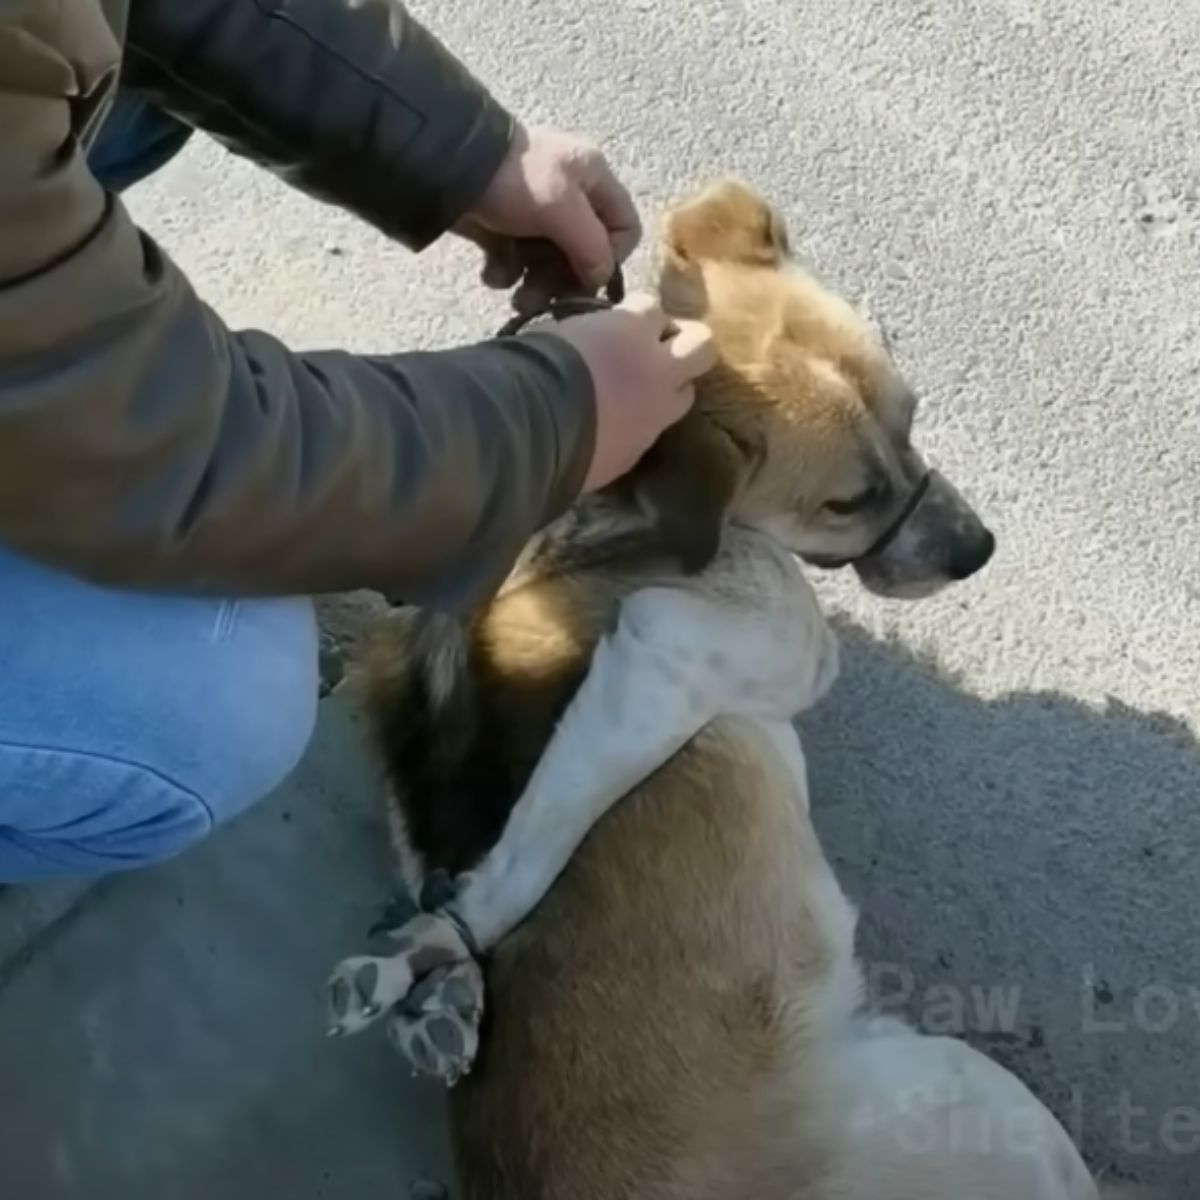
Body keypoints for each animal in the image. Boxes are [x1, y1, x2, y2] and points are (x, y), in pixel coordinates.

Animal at [333, 180, 1108, 1200]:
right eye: (845, 504)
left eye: (914, 417)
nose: (977, 551)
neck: (621, 497)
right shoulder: (672, 647)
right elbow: (527, 847)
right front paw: (447, 946)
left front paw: (438, 973)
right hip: (986, 1099)